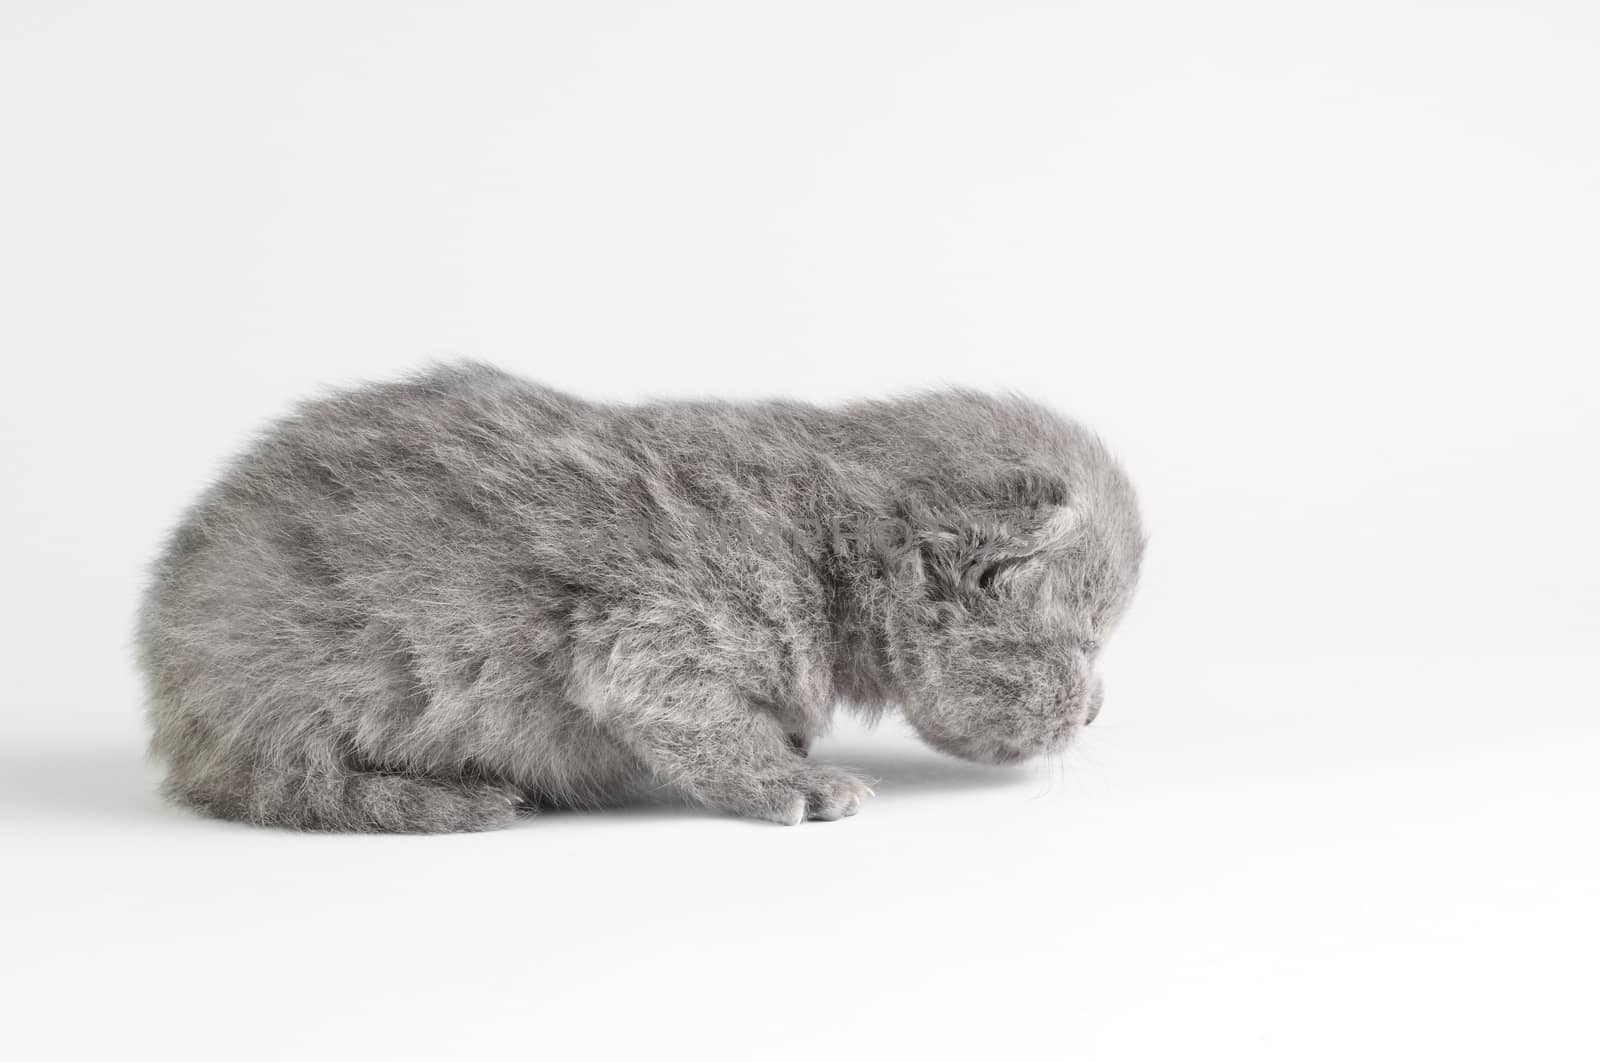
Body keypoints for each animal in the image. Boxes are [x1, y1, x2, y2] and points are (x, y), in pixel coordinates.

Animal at [134, 363, 1139, 831]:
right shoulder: (657, 631)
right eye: (1088, 646)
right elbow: (698, 722)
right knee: (285, 788)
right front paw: (794, 782)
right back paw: (446, 800)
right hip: (284, 704)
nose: (1096, 714)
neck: (826, 543)